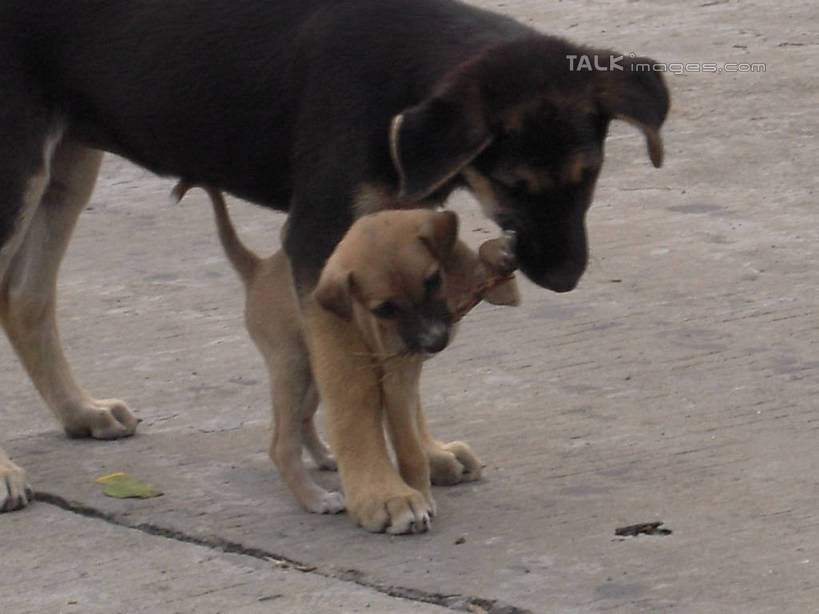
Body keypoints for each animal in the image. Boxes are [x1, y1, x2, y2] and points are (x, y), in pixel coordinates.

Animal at [175, 184, 520, 536]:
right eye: (385, 308)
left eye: (433, 280)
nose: (435, 341)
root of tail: (258, 268)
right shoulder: (395, 378)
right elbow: (406, 446)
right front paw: (416, 498)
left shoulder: (405, 378)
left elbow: (411, 437)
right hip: (292, 369)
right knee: (282, 445)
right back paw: (315, 498)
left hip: (314, 373)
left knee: (304, 419)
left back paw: (326, 457)